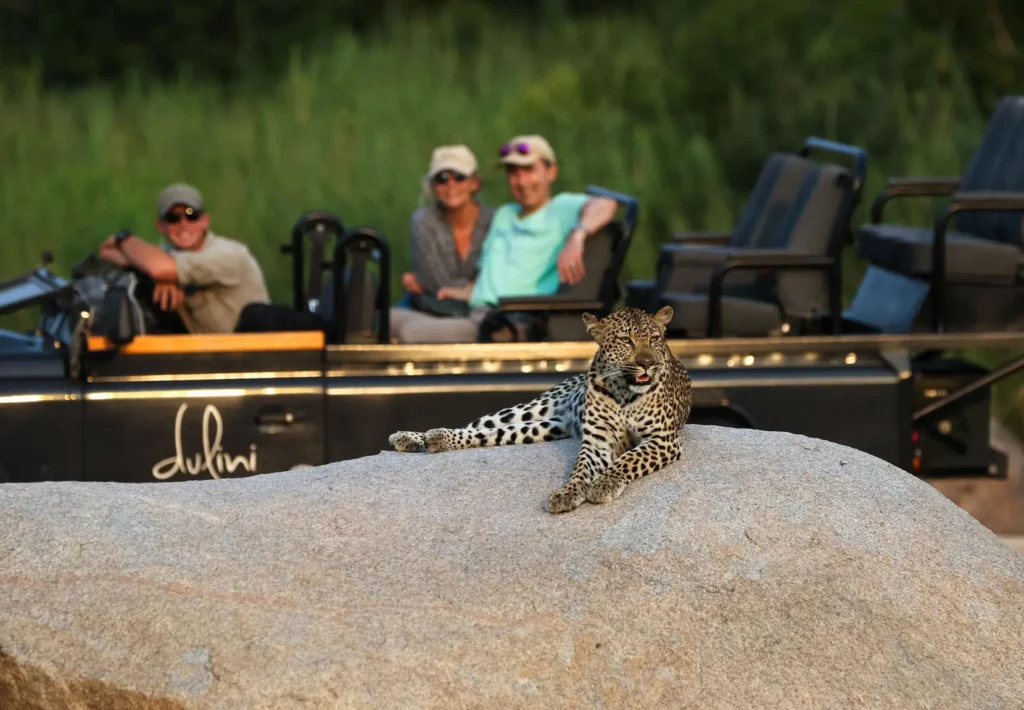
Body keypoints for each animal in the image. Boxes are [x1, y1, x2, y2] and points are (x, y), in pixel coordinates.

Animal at [388, 305, 692, 513]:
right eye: (625, 340)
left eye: (654, 339)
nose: (647, 364)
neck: (624, 392)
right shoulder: (596, 442)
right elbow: (581, 469)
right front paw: (568, 493)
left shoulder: (662, 440)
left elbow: (628, 459)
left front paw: (604, 484)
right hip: (531, 409)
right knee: (476, 427)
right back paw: (415, 437)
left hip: (545, 427)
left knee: (491, 434)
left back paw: (431, 440)